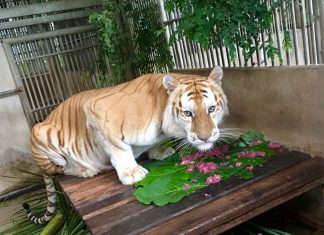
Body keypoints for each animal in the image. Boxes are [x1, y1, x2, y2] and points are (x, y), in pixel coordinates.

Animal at [23, 66, 228, 224]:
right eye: (187, 113)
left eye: (211, 109)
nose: (205, 137)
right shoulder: (97, 112)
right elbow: (120, 150)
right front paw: (132, 173)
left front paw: (160, 151)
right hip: (41, 134)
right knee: (59, 169)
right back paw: (85, 170)